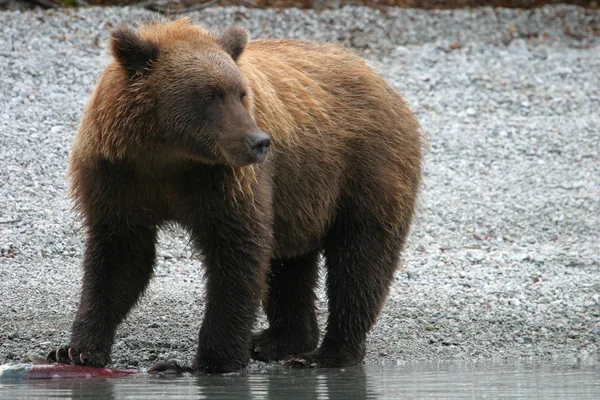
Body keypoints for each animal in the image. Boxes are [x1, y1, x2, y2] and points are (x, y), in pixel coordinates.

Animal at [45, 17, 422, 374]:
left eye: (240, 93)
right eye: (209, 95)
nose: (259, 142)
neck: (168, 154)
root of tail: (381, 81)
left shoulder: (223, 182)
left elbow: (237, 253)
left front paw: (206, 361)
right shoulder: (118, 177)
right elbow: (119, 257)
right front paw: (75, 350)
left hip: (364, 171)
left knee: (358, 261)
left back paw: (324, 354)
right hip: (301, 197)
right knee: (290, 264)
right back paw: (276, 341)